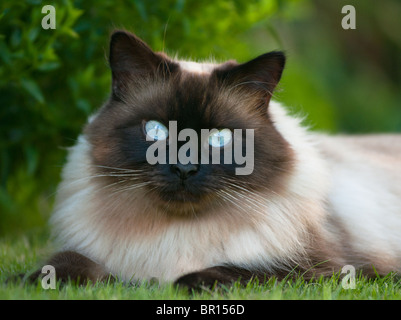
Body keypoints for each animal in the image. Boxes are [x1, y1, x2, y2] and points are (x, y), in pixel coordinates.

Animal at [27, 30, 400, 290]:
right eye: (156, 130)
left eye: (219, 138)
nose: (184, 168)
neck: (173, 236)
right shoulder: (98, 251)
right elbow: (66, 264)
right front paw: (33, 283)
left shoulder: (319, 267)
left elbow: (240, 270)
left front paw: (184, 284)